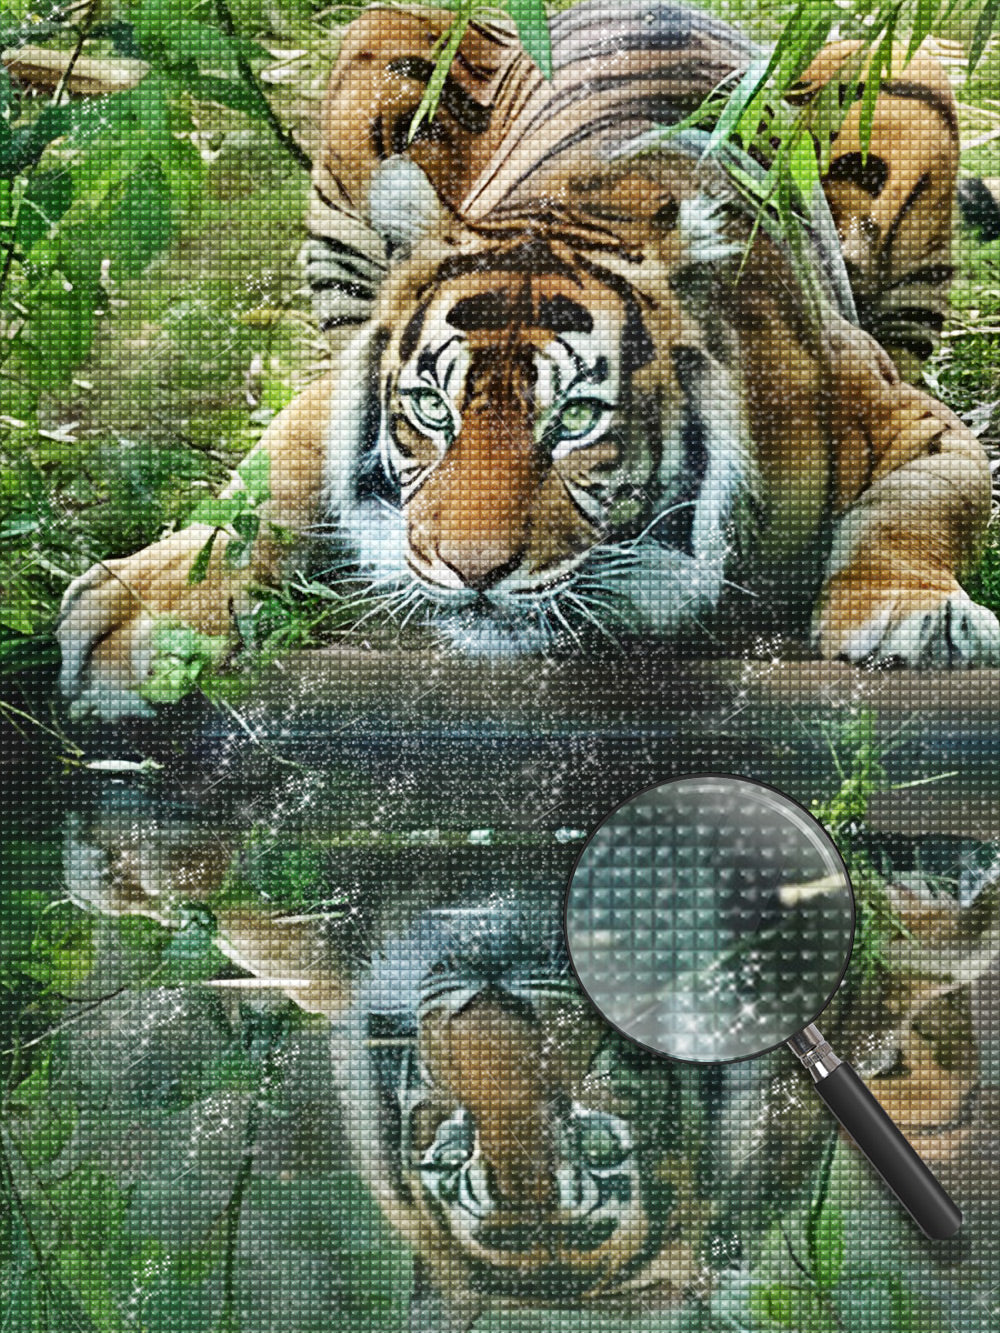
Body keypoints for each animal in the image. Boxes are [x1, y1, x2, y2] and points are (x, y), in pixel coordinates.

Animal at [55, 0, 1000, 720]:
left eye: (576, 419)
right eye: (430, 409)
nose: (469, 572)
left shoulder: (908, 414)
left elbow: (925, 508)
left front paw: (914, 617)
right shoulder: (342, 383)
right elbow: (259, 488)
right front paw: (135, 616)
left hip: (901, 75)